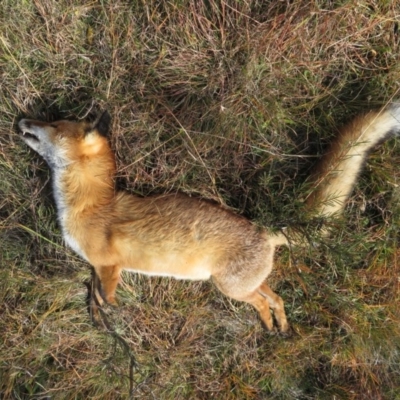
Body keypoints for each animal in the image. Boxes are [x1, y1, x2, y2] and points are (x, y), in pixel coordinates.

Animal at [18, 104, 400, 332]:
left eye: (53, 125)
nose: (22, 119)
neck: (90, 205)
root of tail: (264, 232)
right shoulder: (102, 266)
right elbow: (96, 292)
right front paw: (99, 312)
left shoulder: (109, 264)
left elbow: (105, 294)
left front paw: (109, 313)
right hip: (245, 284)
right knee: (275, 297)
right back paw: (278, 325)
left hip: (229, 287)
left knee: (263, 300)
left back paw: (268, 322)